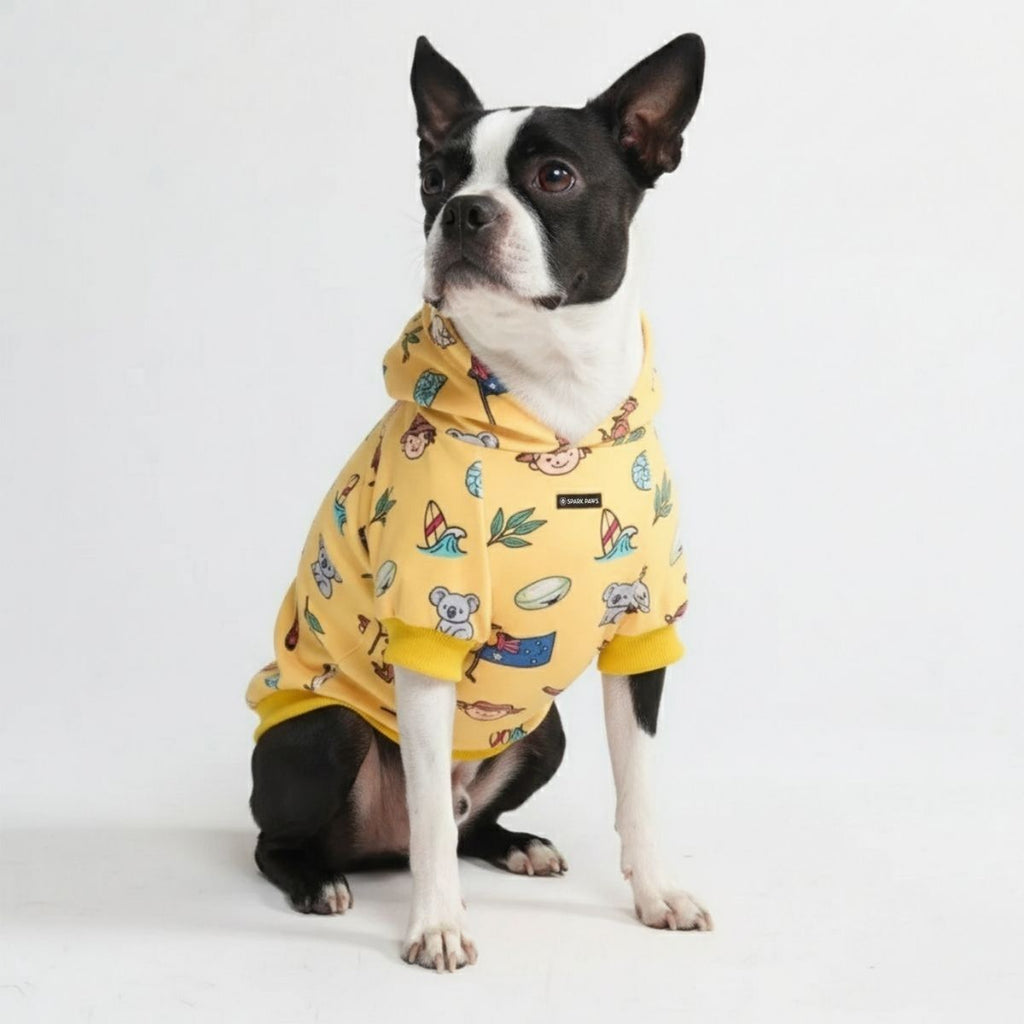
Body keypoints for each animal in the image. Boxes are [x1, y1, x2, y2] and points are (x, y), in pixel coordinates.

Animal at [247, 33, 710, 972]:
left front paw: (656, 894)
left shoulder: (642, 627)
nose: (462, 211)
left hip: (544, 730)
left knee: (466, 824)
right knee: (312, 835)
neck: (555, 405)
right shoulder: (428, 625)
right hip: (325, 731)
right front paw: (437, 926)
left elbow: (639, 789)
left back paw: (516, 844)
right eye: (434, 175)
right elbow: (428, 815)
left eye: (555, 176)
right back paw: (316, 879)